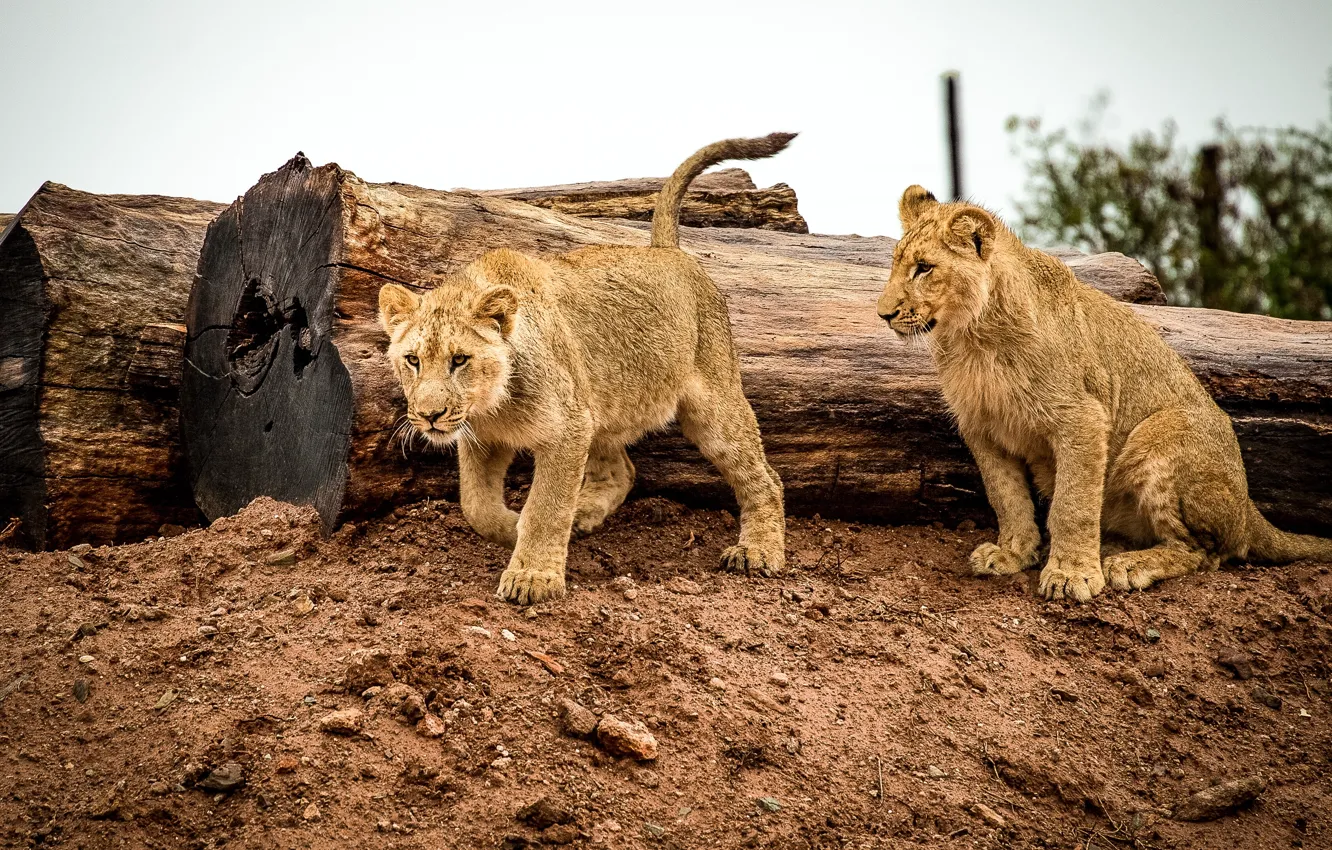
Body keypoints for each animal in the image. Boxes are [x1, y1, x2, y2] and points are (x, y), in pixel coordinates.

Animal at [378, 135, 791, 604]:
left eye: (459, 360)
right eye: (412, 360)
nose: (429, 416)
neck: (492, 405)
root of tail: (667, 251)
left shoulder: (567, 428)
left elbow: (546, 506)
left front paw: (532, 575)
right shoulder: (485, 437)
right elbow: (475, 506)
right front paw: (511, 528)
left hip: (712, 404)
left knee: (764, 477)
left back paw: (758, 551)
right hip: (600, 405)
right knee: (622, 473)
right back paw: (583, 515)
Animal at [876, 185, 1332, 602]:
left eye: (924, 268)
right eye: (897, 265)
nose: (883, 314)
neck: (972, 338)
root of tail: (1248, 507)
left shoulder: (1082, 418)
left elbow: (1072, 504)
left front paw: (1071, 573)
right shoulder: (982, 427)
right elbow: (1006, 497)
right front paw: (1013, 554)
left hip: (1165, 433)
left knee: (1205, 552)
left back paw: (1127, 565)